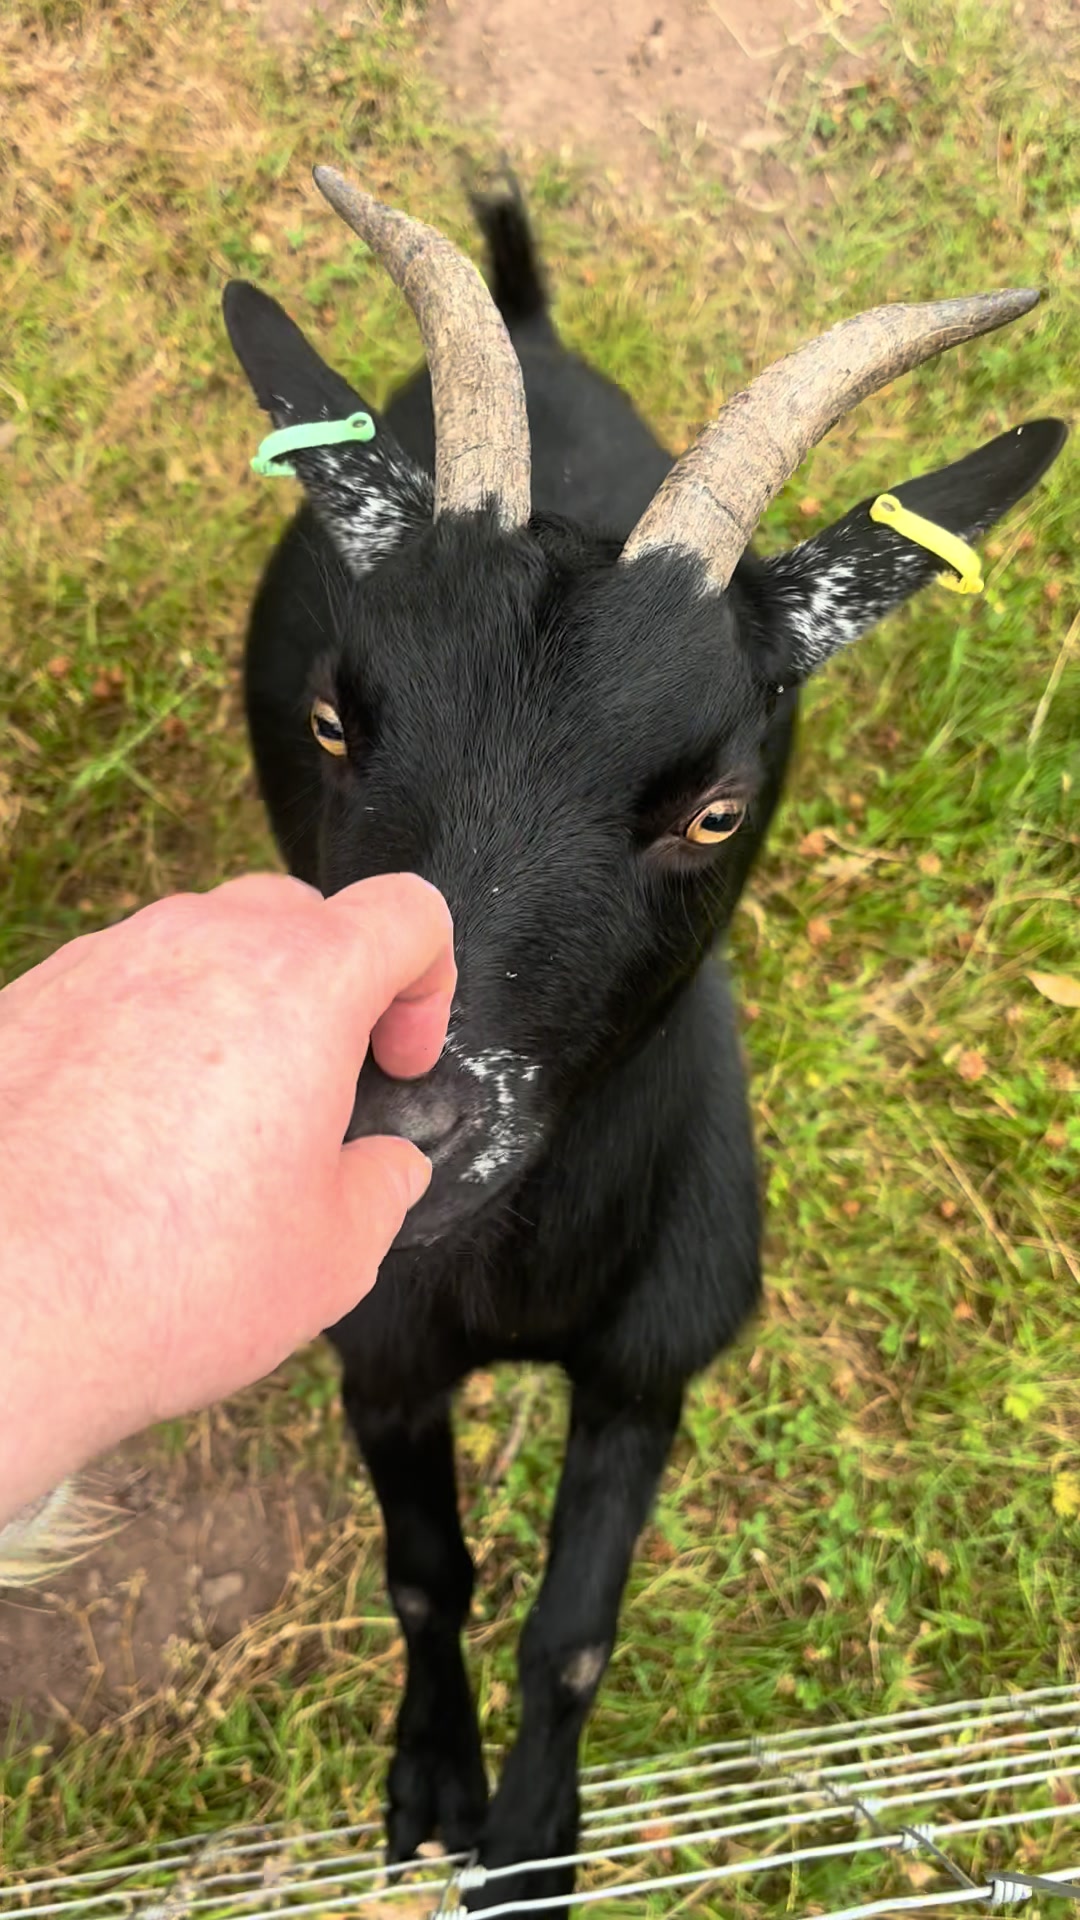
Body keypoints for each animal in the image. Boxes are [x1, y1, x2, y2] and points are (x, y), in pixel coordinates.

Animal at [222, 168, 1065, 1914]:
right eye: (338, 719)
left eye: (716, 807)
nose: (397, 1124)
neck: (521, 1280)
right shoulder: (381, 1352)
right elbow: (427, 1574)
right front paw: (434, 1789)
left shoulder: (652, 1365)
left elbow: (574, 1634)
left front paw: (535, 1845)